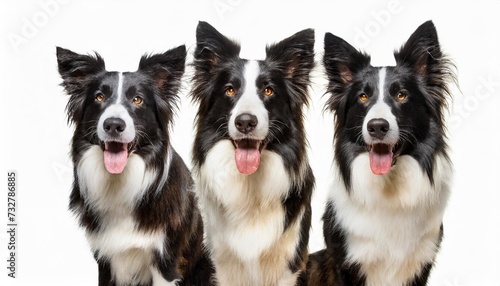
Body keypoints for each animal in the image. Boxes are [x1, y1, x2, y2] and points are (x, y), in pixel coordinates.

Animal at [57, 45, 213, 284]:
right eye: (99, 97)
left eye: (138, 100)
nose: (113, 125)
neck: (120, 181)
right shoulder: (105, 259)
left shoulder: (166, 262)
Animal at [189, 22, 314, 286]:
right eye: (229, 90)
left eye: (268, 90)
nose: (245, 121)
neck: (250, 184)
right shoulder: (223, 264)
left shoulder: (289, 263)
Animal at [306, 21, 456, 284]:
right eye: (363, 96)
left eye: (402, 95)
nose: (377, 126)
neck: (389, 186)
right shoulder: (346, 261)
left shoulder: (420, 263)